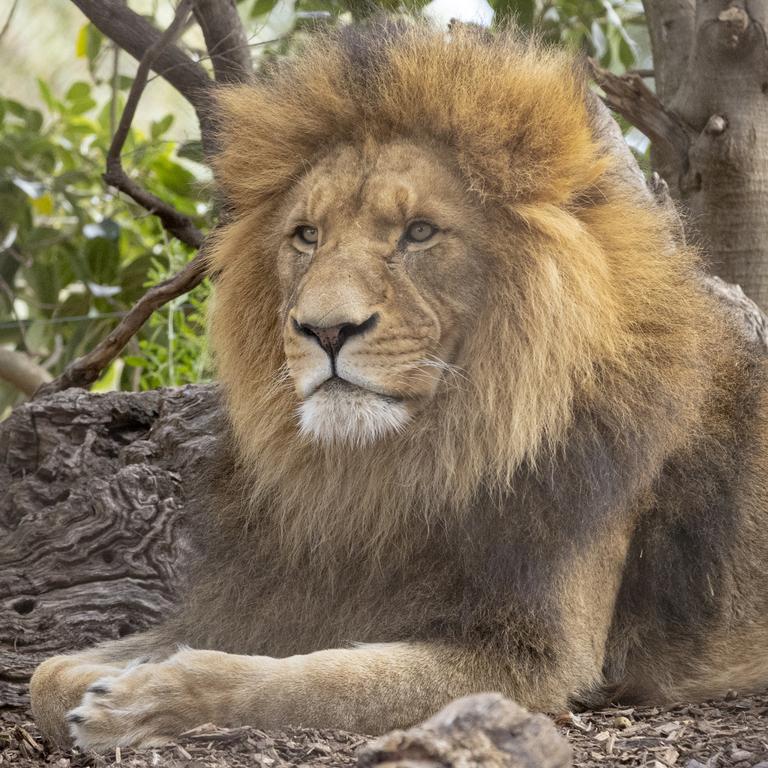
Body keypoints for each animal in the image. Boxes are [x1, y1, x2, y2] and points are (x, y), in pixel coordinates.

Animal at [27, 19, 768, 752]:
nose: (325, 330)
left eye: (419, 233)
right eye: (306, 235)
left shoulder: (536, 661)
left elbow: (319, 683)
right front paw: (104, 685)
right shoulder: (274, 596)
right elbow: (45, 674)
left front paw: (149, 701)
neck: (389, 476)